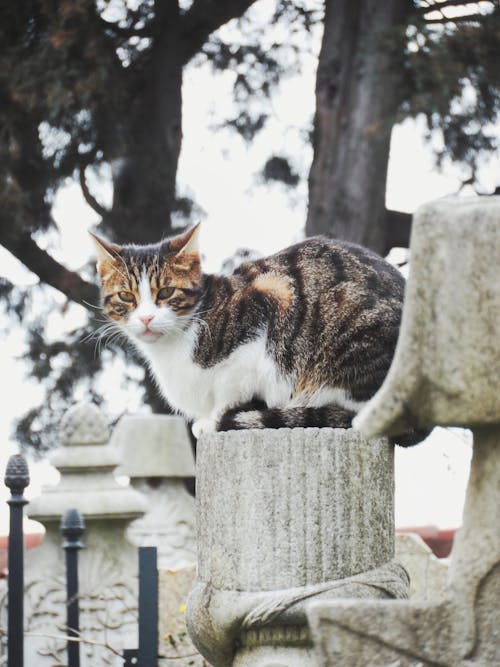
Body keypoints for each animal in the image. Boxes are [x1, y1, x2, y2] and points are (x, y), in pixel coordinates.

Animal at [91, 226, 426, 448]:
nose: (146, 318)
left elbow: (231, 387)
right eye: (126, 296)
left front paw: (213, 420)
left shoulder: (267, 301)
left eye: (166, 292)